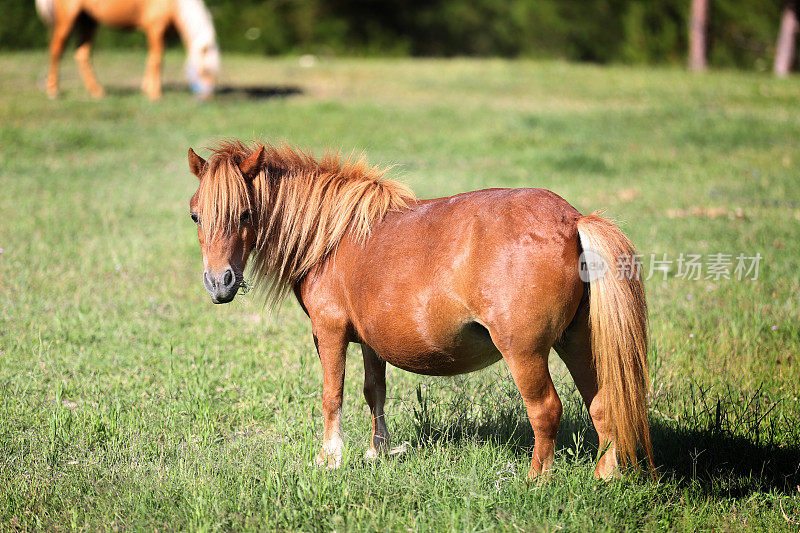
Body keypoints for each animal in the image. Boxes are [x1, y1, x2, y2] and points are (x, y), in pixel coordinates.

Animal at [36, 0, 219, 100]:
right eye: (204, 71)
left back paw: (97, 92)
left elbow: (151, 58)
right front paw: (155, 94)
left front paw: (146, 89)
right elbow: (157, 60)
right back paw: (53, 91)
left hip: (88, 20)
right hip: (68, 18)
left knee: (82, 54)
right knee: (56, 50)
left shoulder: (163, 33)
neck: (174, 3)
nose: (206, 97)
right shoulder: (155, 29)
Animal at [188, 140, 656, 478]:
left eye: (244, 212)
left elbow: (331, 395)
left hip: (524, 351)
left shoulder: (330, 331)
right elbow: (373, 390)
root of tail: (573, 220)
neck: (332, 237)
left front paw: (330, 458)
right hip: (577, 341)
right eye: (195, 216)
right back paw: (605, 475)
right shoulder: (369, 340)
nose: (219, 283)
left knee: (545, 410)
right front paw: (377, 452)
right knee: (603, 404)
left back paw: (536, 480)